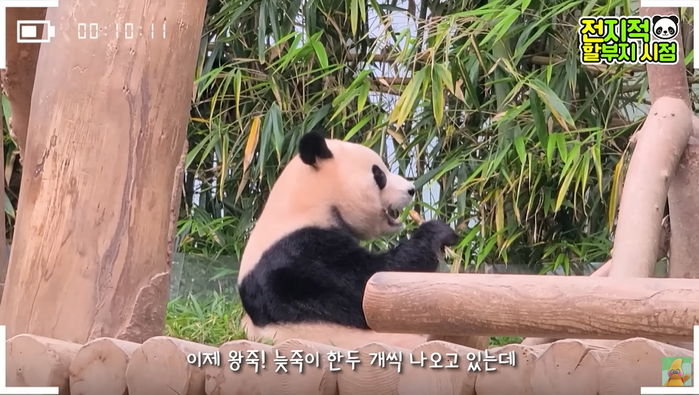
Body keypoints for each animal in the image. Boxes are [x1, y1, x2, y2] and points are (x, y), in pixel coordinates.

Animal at [238, 131, 462, 348]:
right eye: (379, 174)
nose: (411, 189)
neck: (304, 203)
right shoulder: (299, 254)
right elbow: (372, 285)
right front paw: (438, 232)